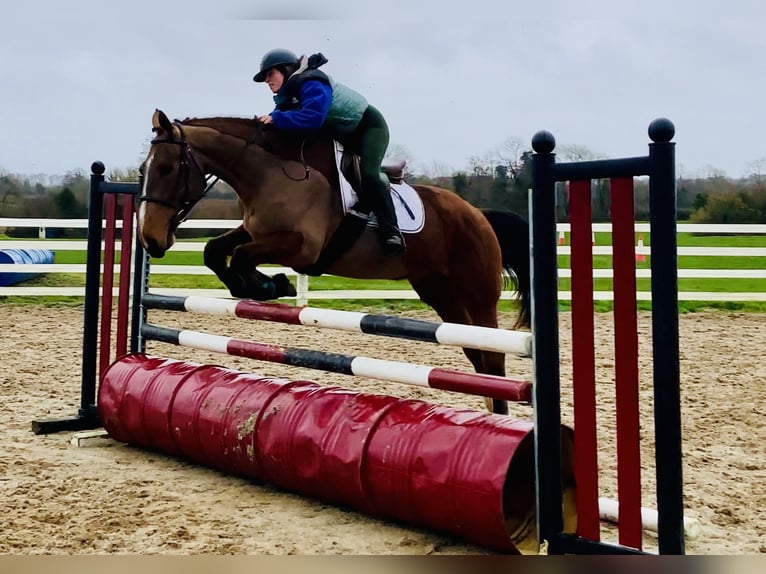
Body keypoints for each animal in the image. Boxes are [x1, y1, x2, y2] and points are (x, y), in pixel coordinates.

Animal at [137, 109, 531, 414]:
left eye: (168, 168)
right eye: (143, 169)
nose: (150, 239)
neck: (268, 173)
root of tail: (479, 215)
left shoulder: (302, 248)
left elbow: (242, 257)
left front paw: (271, 284)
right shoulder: (253, 231)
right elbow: (215, 250)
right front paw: (260, 285)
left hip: (477, 293)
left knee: (493, 358)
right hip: (440, 292)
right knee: (477, 354)